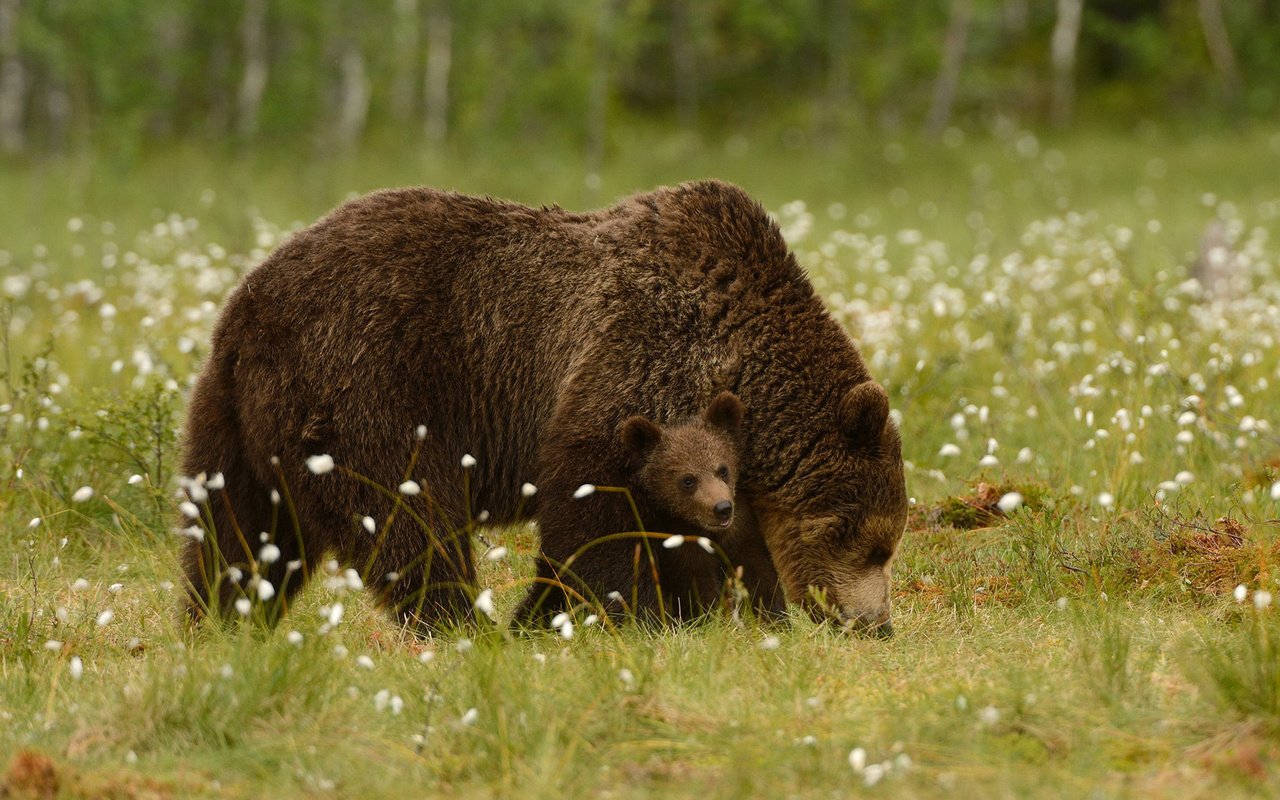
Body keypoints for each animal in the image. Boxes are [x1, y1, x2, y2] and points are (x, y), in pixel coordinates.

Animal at [180, 180, 906, 637]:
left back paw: (218, 620)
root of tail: (251, 300)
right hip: (367, 382)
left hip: (232, 416)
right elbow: (594, 517)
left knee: (235, 530)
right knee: (407, 514)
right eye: (875, 544)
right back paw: (463, 624)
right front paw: (595, 616)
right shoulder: (633, 365)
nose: (875, 625)